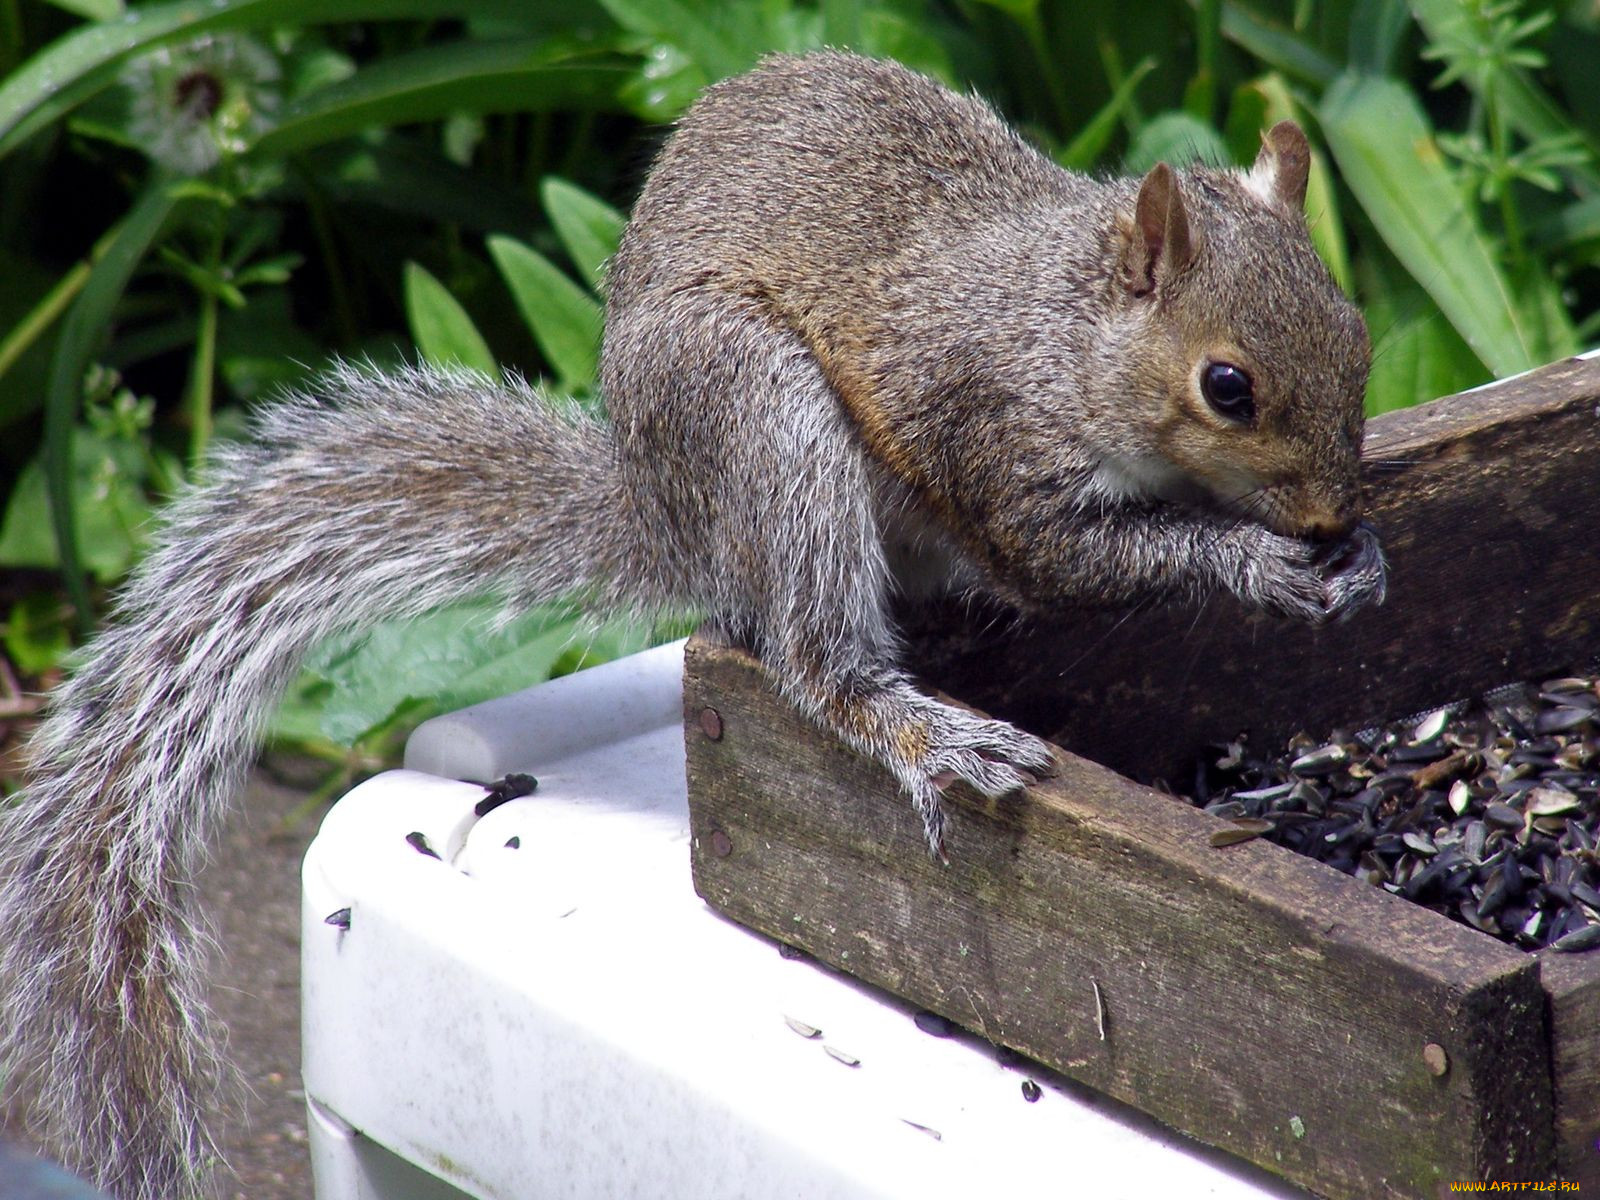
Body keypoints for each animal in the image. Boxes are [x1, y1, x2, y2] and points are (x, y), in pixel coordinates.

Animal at [0, 47, 1388, 1200]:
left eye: (1361, 337)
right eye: (1225, 386)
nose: (1331, 509)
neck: (1065, 325)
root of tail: (668, 507)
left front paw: (1360, 560)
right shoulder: (990, 441)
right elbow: (1070, 562)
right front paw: (1258, 561)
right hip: (763, 418)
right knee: (813, 655)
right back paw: (922, 729)